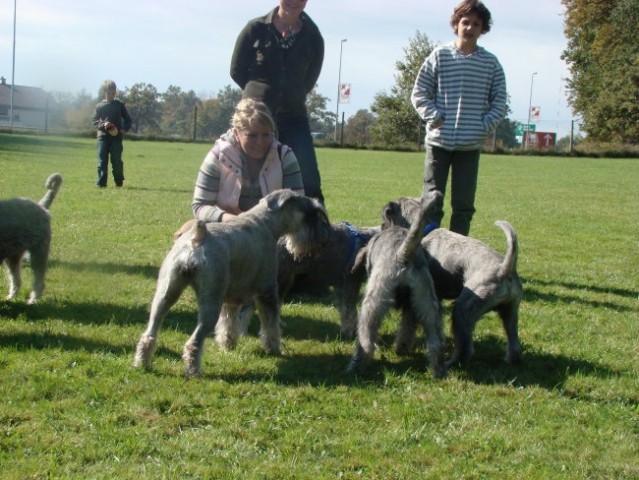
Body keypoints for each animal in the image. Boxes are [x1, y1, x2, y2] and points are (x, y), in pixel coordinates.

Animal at [0, 172, 63, 304]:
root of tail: (42, 207)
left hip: (38, 253)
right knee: (16, 280)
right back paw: (11, 297)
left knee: (38, 280)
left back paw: (33, 300)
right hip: (13, 257)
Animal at [137, 189, 332, 376]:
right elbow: (270, 325)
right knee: (194, 341)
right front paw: (274, 348)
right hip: (210, 302)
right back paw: (193, 371)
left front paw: (228, 344)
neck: (265, 224)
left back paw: (142, 362)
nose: (324, 237)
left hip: (166, 294)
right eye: (311, 213)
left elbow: (228, 323)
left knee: (150, 332)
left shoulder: (230, 299)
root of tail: (197, 240)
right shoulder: (267, 292)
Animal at [348, 191, 448, 378]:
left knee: (366, 341)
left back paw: (355, 367)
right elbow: (406, 329)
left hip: (373, 302)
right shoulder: (410, 308)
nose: (381, 226)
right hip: (427, 305)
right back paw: (439, 371)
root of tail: (403, 254)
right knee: (435, 342)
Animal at [382, 195, 524, 368]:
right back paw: (511, 361)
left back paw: (451, 363)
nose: (381, 228)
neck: (425, 231)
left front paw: (400, 348)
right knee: (514, 343)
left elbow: (406, 328)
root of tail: (505, 269)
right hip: (510, 313)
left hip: (462, 311)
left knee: (465, 348)